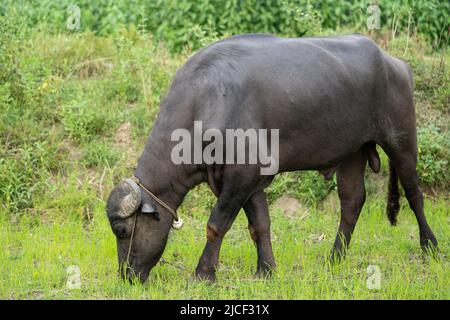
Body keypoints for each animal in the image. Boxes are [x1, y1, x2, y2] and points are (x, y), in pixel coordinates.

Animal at [105, 33, 436, 282]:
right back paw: (334, 258)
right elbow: (260, 225)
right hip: (352, 153)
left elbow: (216, 224)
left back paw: (430, 246)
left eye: (122, 231)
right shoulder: (247, 181)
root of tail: (395, 64)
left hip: (402, 140)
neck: (205, 104)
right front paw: (266, 270)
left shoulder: (242, 176)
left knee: (414, 193)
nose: (127, 276)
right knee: (352, 202)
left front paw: (203, 273)